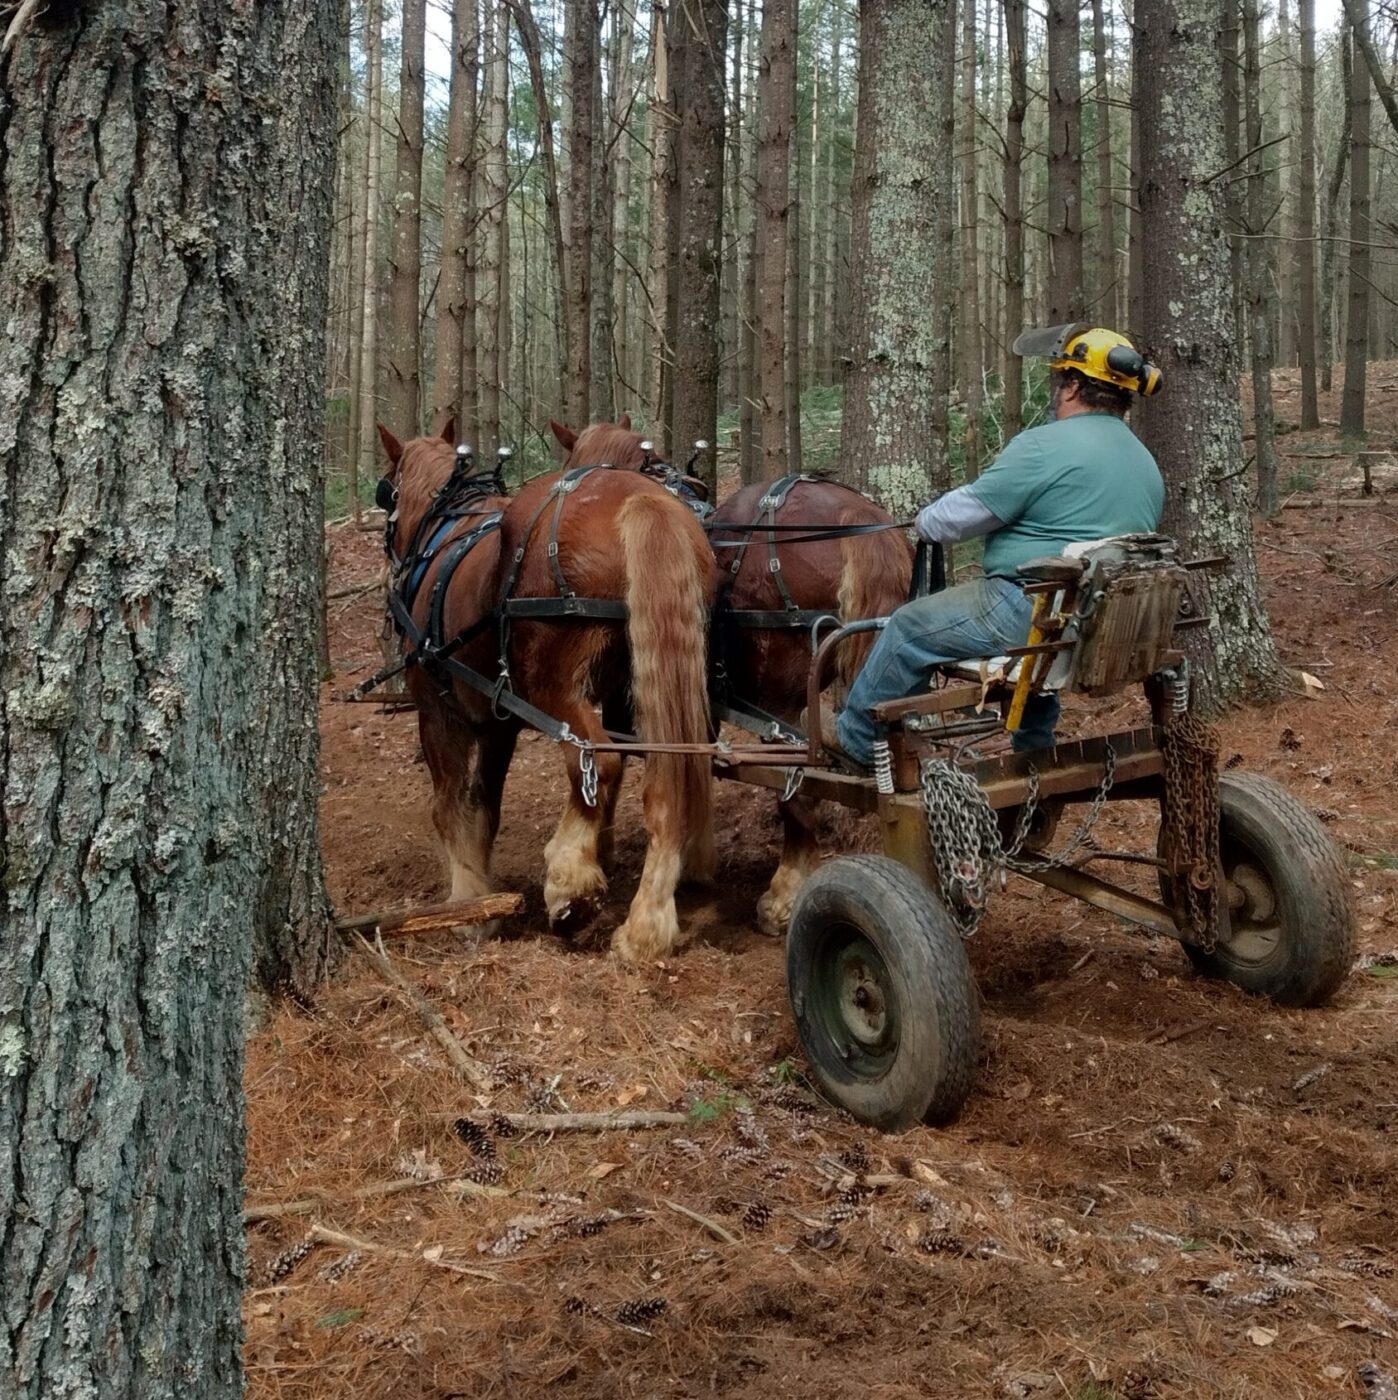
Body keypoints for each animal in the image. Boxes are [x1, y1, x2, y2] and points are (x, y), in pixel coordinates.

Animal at [378, 420, 717, 962]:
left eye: (385, 492)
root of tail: (643, 499)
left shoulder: (438, 711)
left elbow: (449, 805)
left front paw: (468, 902)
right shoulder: (498, 725)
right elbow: (484, 805)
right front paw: (484, 891)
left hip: (552, 686)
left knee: (597, 760)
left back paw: (569, 884)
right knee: (669, 778)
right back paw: (646, 925)